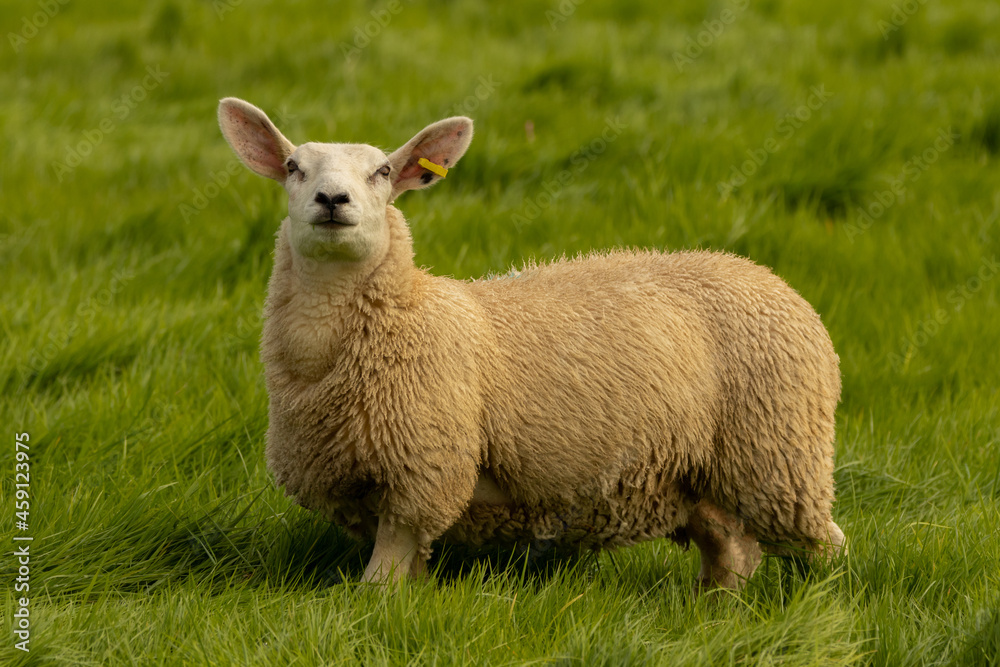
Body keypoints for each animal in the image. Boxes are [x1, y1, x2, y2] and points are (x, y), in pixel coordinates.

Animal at [218, 97, 845, 589]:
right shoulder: (363, 482)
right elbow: (405, 569)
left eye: (382, 172)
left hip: (779, 453)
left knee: (824, 541)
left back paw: (828, 599)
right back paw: (714, 608)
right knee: (729, 548)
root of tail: (766, 276)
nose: (332, 200)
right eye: (293, 167)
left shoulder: (422, 471)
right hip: (699, 471)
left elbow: (384, 573)